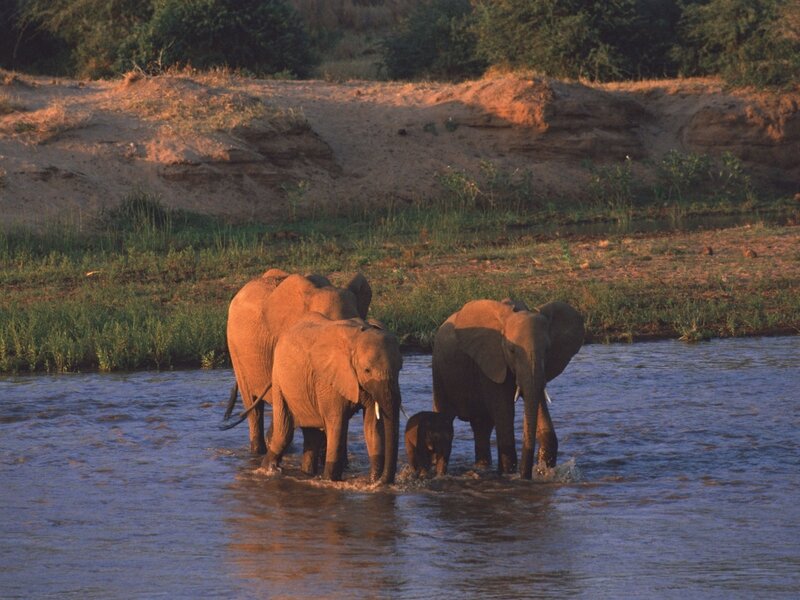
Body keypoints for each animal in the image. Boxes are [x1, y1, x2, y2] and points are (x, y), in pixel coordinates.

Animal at [262, 313, 403, 484]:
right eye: (367, 370)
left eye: (400, 368)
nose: (383, 480)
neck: (356, 339)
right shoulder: (327, 380)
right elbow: (337, 423)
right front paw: (330, 480)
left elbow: (372, 426)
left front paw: (374, 482)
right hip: (279, 380)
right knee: (285, 432)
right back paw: (267, 469)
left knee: (311, 436)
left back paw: (306, 473)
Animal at [432, 299, 584, 479]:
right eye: (512, 350)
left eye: (547, 350)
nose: (527, 475)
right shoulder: (491, 361)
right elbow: (505, 411)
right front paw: (509, 474)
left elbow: (536, 399)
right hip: (439, 371)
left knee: (482, 427)